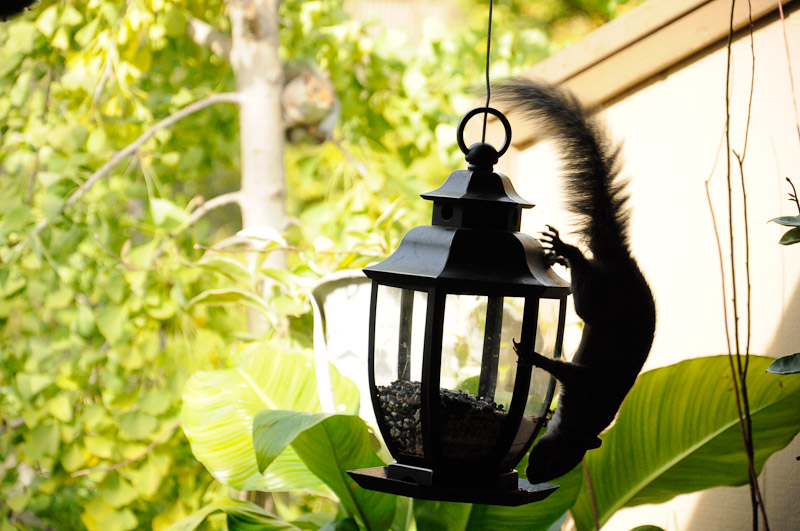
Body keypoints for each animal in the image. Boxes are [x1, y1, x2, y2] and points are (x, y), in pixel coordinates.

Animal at [493, 78, 656, 483]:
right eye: (555, 457)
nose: (536, 477)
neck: (588, 414)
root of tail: (623, 260)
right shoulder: (584, 384)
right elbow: (560, 369)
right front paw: (533, 356)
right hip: (594, 298)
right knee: (584, 274)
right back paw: (567, 251)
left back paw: (563, 254)